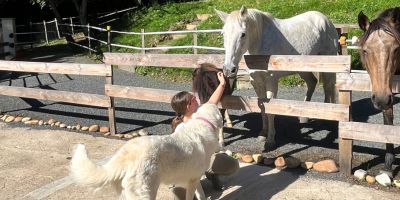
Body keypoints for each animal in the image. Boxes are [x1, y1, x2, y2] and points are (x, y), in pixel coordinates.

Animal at [70, 104, 223, 199]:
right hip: (145, 193)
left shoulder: (194, 178)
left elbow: (201, 194)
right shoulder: (192, 181)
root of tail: (126, 154)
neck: (203, 123)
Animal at [216, 6, 338, 149]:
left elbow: (270, 111)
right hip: (302, 68)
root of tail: (326, 20)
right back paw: (304, 117)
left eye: (243, 34)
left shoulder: (271, 82)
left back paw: (325, 118)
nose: (229, 69)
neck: (259, 45)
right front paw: (263, 134)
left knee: (328, 87)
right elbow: (262, 109)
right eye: (223, 33)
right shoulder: (256, 82)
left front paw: (270, 140)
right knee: (312, 83)